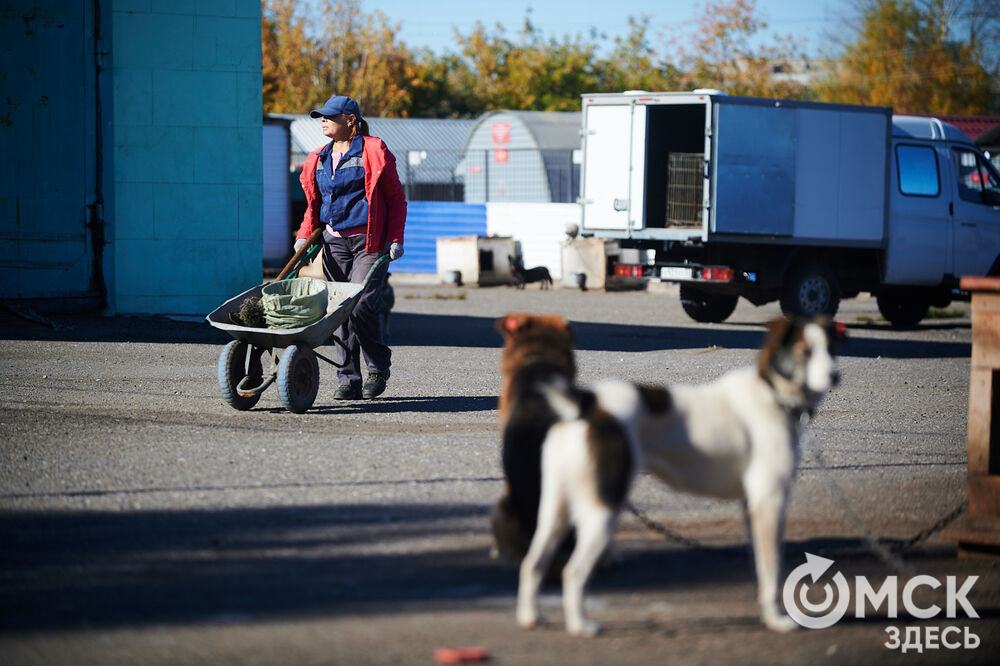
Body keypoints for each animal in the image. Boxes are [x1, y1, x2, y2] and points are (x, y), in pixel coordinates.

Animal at [516, 314, 844, 636]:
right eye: (806, 352)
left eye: (831, 349)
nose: (835, 376)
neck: (772, 392)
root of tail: (587, 405)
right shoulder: (769, 503)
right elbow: (772, 569)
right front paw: (776, 620)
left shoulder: (751, 507)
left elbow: (761, 568)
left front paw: (766, 614)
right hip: (603, 510)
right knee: (574, 572)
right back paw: (580, 626)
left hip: (554, 509)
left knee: (532, 563)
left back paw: (532, 617)